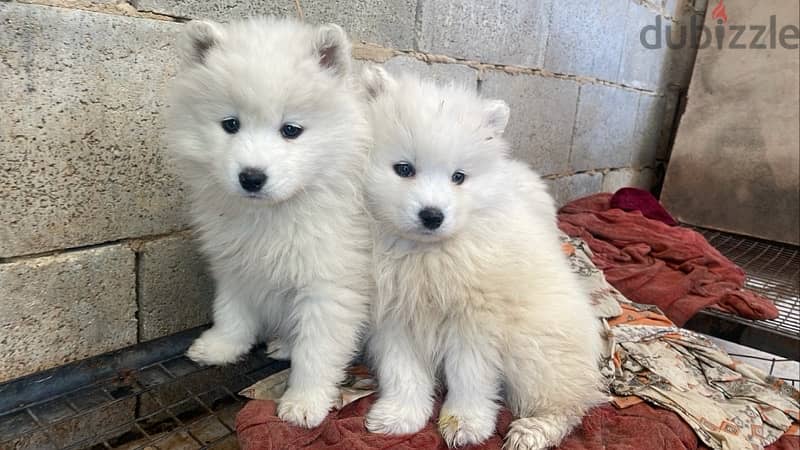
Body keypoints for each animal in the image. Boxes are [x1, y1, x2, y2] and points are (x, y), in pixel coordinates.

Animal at [167, 18, 374, 428]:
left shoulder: (329, 287)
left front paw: (305, 401)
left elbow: (317, 350)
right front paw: (221, 345)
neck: (274, 213)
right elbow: (231, 309)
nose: (251, 177)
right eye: (230, 124)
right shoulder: (236, 263)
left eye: (291, 130)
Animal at [360, 67, 604, 450]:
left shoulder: (475, 323)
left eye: (459, 177)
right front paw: (399, 416)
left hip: (536, 350)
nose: (432, 215)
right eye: (404, 169)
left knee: (568, 403)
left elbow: (470, 377)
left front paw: (467, 424)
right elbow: (403, 372)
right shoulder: (392, 318)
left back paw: (531, 432)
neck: (426, 253)